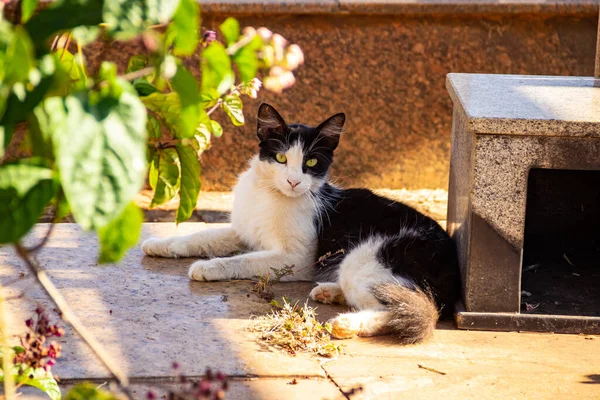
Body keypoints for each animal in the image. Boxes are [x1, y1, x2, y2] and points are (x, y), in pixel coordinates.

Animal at [143, 103, 462, 344]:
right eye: (280, 158)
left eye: (311, 163)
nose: (294, 181)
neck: (270, 194)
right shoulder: (242, 232)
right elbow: (199, 237)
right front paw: (159, 244)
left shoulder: (296, 258)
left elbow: (244, 260)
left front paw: (208, 267)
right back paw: (330, 291)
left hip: (366, 258)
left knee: (405, 308)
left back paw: (347, 323)